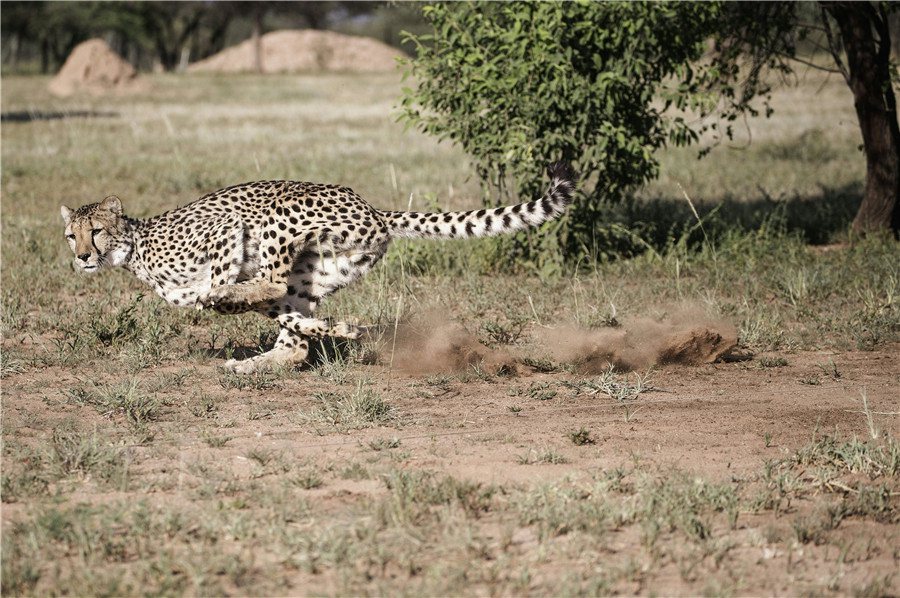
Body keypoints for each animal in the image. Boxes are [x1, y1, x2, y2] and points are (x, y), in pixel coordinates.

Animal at [61, 162, 576, 372]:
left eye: (96, 231)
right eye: (72, 235)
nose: (82, 256)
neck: (134, 247)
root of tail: (373, 209)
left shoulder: (225, 228)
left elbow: (221, 285)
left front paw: (224, 291)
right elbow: (284, 319)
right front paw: (345, 330)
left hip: (277, 220)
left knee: (268, 285)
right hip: (317, 272)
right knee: (293, 337)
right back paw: (259, 363)